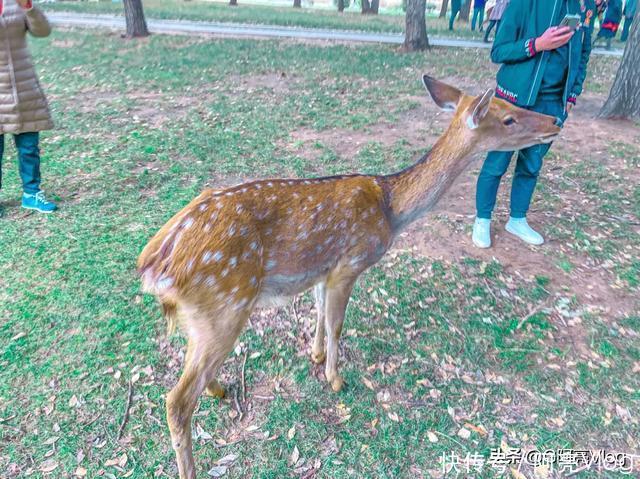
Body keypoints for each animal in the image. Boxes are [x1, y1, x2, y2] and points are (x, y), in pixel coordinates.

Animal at [136, 77, 560, 478]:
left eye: (512, 104)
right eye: (508, 117)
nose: (555, 121)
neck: (391, 209)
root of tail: (155, 264)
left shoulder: (323, 270)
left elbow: (320, 313)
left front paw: (316, 354)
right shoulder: (349, 263)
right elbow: (337, 322)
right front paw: (336, 379)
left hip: (204, 317)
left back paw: (220, 389)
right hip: (226, 303)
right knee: (176, 400)